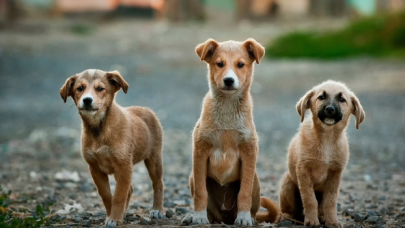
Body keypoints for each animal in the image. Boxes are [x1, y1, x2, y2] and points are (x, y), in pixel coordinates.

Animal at [58, 69, 164, 226]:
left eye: (100, 88)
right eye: (80, 88)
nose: (87, 100)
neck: (99, 129)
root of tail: (146, 110)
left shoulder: (124, 165)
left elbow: (119, 195)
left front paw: (114, 218)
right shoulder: (95, 168)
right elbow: (107, 195)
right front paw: (111, 215)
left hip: (154, 159)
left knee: (158, 184)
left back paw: (157, 210)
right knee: (130, 189)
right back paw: (124, 213)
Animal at [183, 37, 278, 226]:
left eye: (240, 64)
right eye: (219, 64)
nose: (228, 80)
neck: (227, 109)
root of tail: (225, 217)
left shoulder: (249, 152)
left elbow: (244, 193)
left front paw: (244, 218)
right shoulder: (200, 151)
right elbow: (201, 192)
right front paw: (198, 216)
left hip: (256, 180)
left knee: (252, 205)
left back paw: (249, 217)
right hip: (192, 177)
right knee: (210, 211)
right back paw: (194, 216)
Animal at [276, 81, 364, 228]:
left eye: (342, 99)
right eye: (321, 97)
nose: (330, 109)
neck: (327, 138)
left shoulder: (335, 174)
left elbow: (331, 201)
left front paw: (332, 221)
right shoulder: (303, 170)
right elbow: (310, 199)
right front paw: (312, 221)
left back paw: (322, 217)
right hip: (287, 183)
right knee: (288, 210)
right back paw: (285, 217)